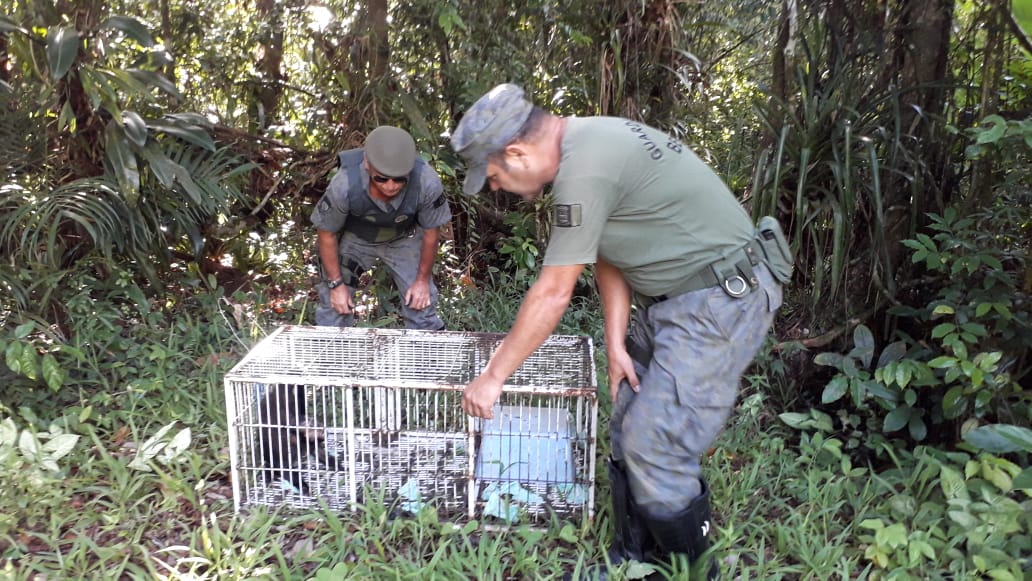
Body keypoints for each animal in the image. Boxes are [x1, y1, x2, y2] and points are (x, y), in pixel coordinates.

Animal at [221, 326, 602, 524]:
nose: (310, 430)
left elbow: (315, 452)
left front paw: (329, 465)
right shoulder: (289, 431)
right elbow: (293, 455)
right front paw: (305, 479)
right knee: (273, 458)